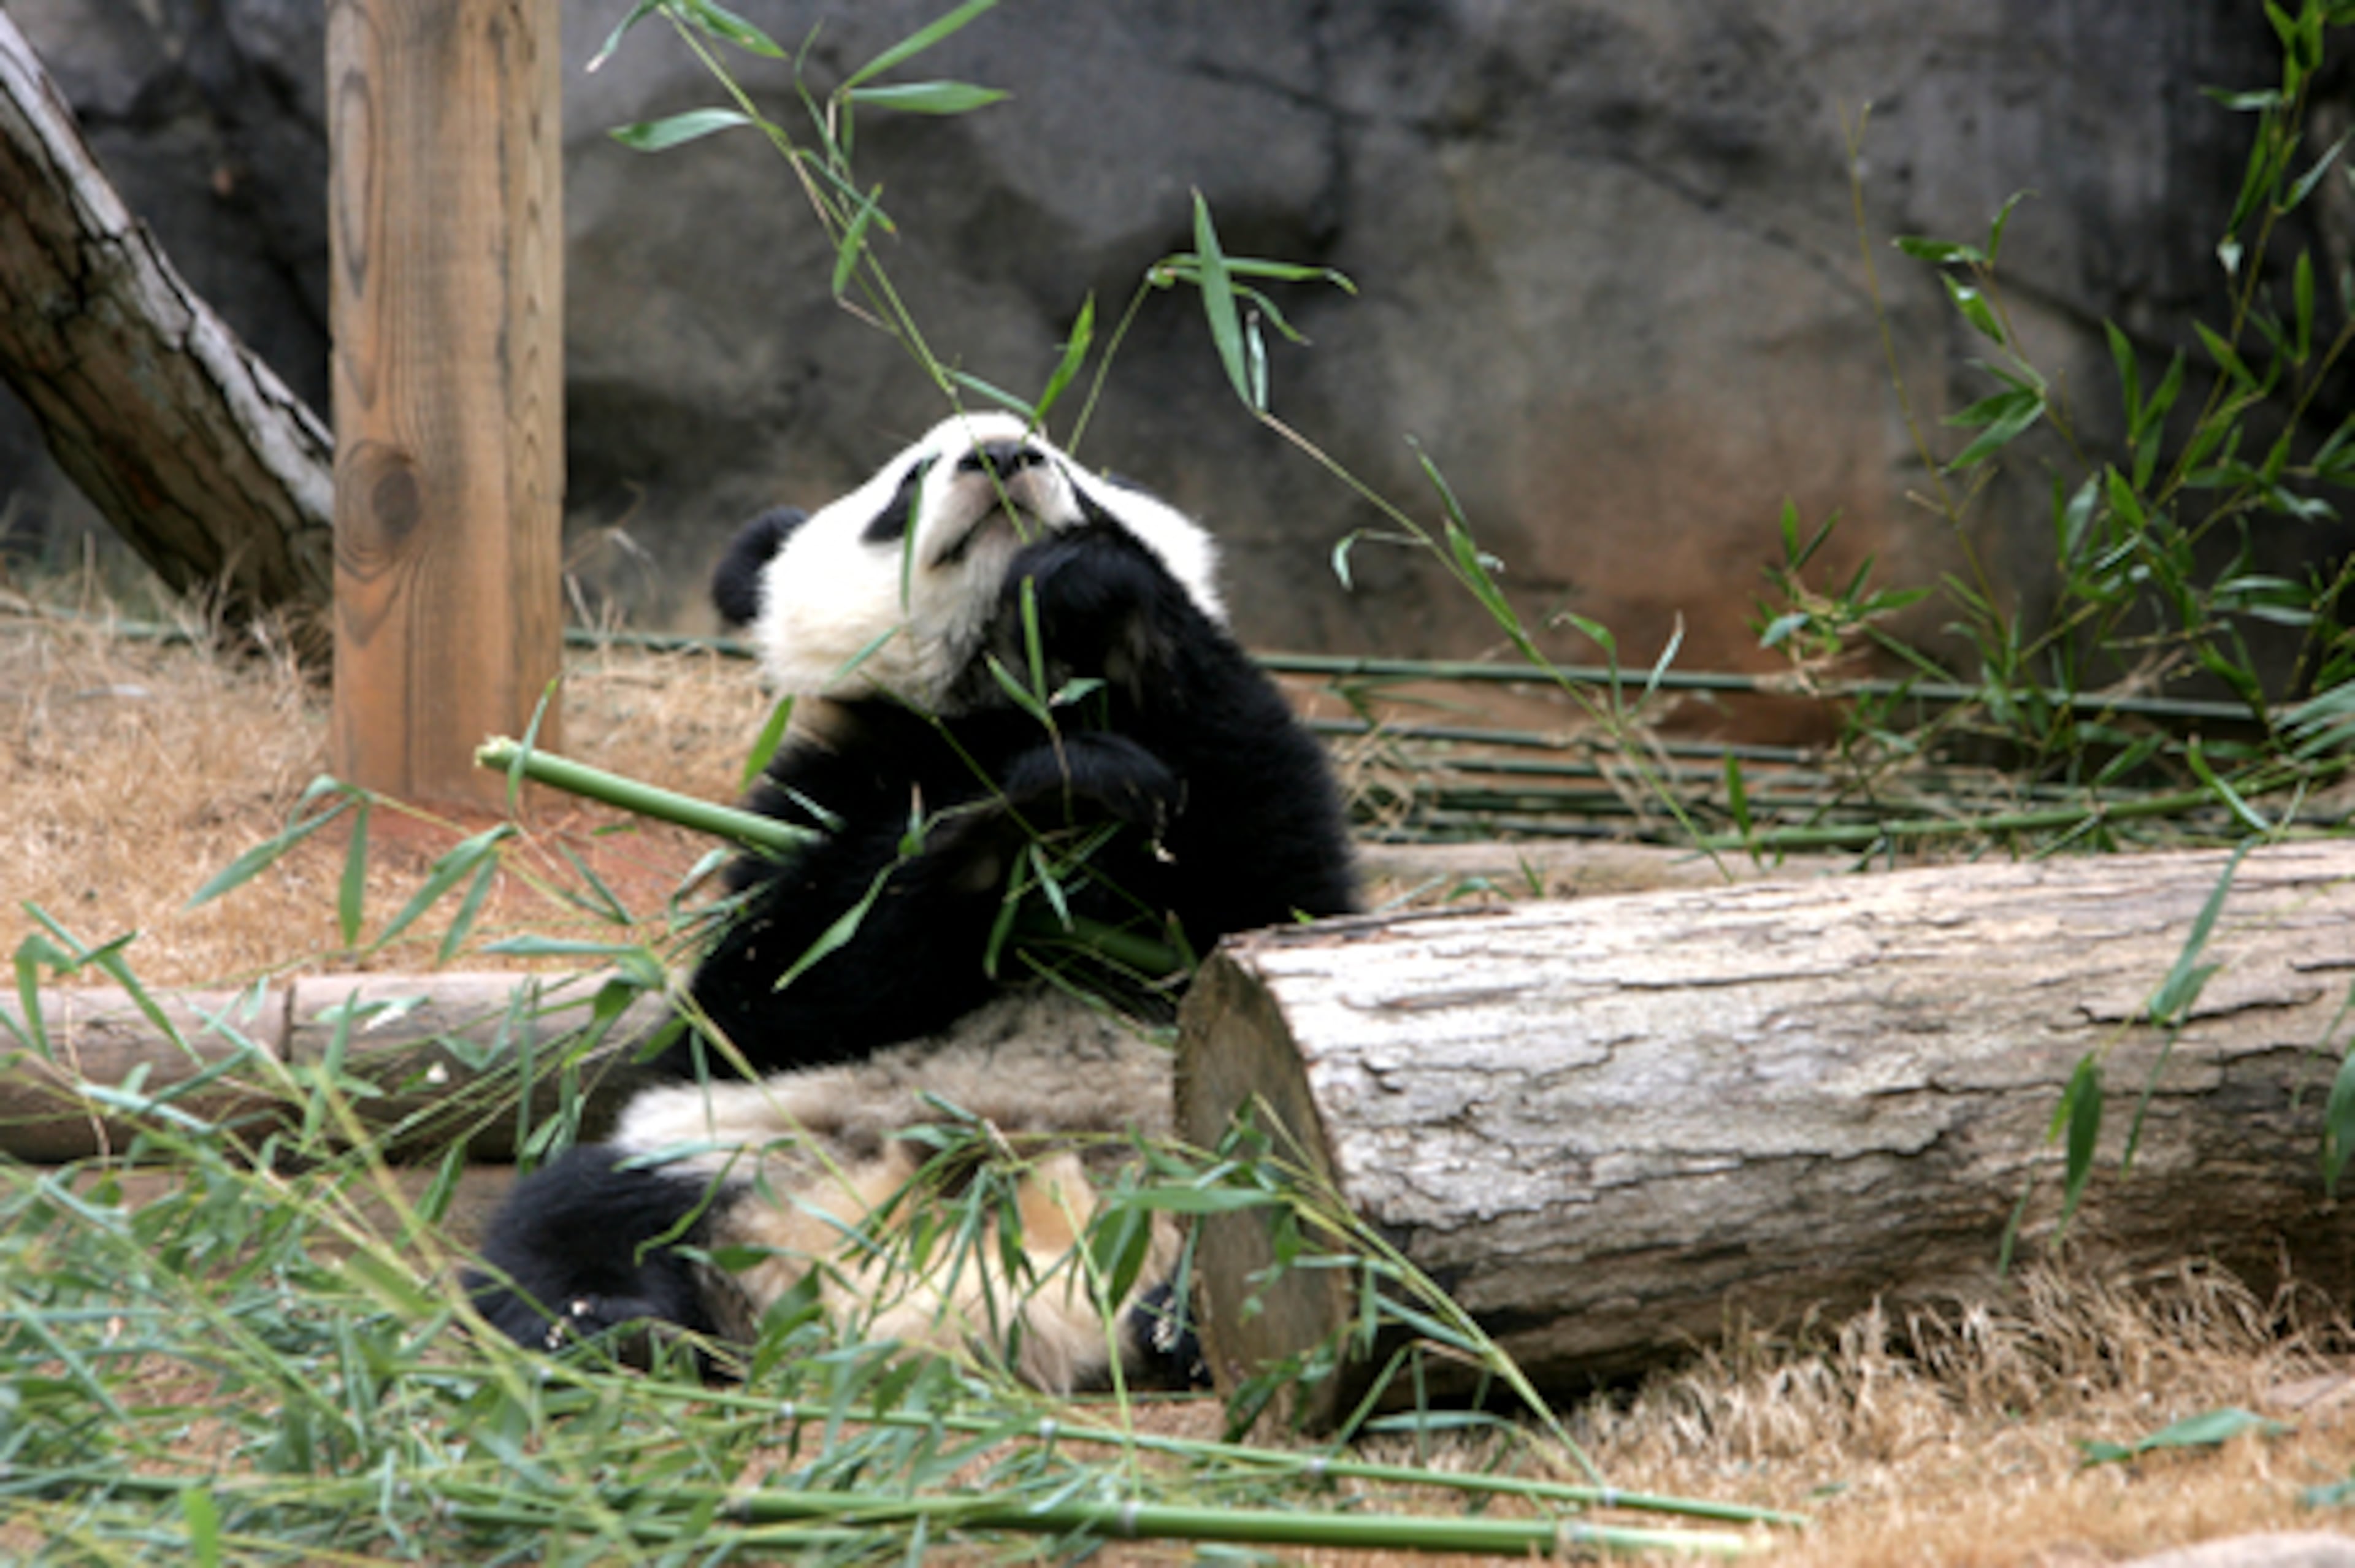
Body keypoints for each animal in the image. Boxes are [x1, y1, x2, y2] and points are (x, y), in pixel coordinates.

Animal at [467, 411, 1358, 1390]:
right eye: (907, 483)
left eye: (1069, 467)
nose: (1002, 456)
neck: (1002, 701)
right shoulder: (820, 800)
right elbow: (779, 987)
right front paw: (1047, 800)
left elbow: (1273, 887)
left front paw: (1095, 596)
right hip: (726, 1154)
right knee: (571, 1222)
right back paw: (622, 1330)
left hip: (1203, 1165)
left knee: (1288, 1248)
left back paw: (1181, 1326)